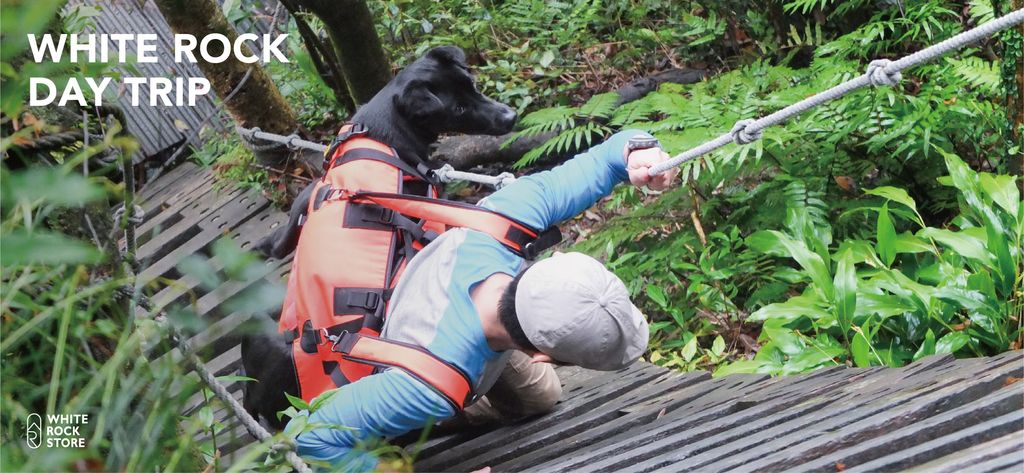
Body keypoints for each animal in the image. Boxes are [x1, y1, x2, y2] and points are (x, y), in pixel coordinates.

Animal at [242, 47, 516, 427]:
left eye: (473, 84)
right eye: (458, 109)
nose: (511, 116)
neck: (382, 133)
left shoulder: (303, 202)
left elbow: (276, 241)